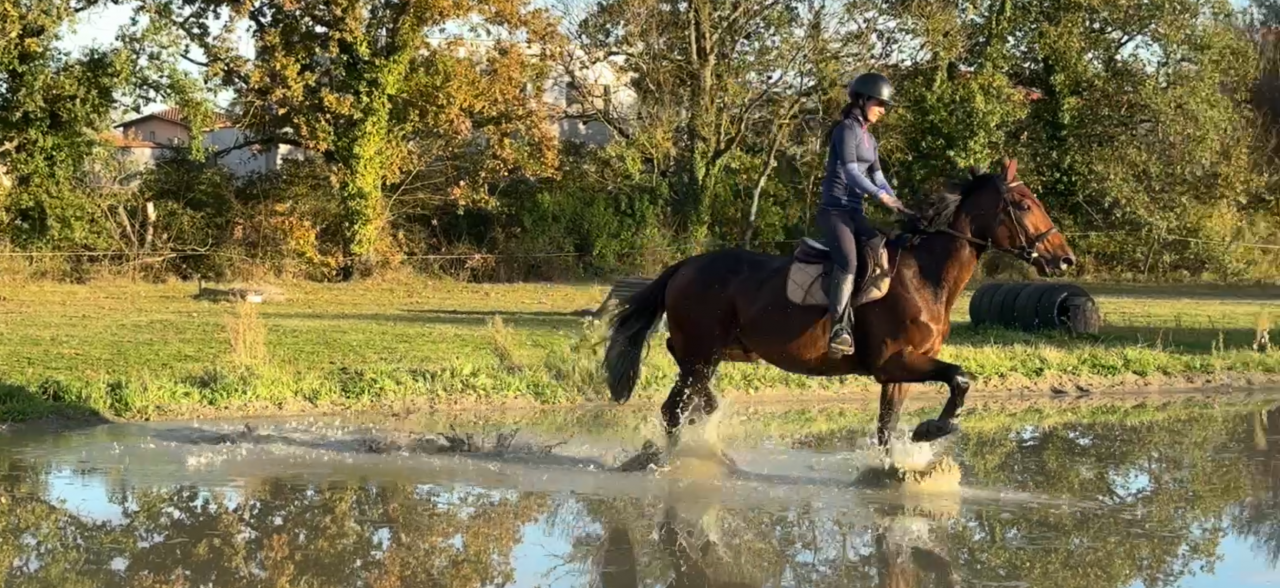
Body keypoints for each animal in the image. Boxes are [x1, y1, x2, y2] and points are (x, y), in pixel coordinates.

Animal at [602, 158, 1076, 453]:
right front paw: (931, 430)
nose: (1064, 259)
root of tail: (685, 265)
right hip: (702, 354)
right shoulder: (894, 362)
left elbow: (887, 429)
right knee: (675, 408)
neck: (924, 276)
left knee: (687, 398)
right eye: (1023, 204)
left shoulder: (899, 373)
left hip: (712, 356)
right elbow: (959, 378)